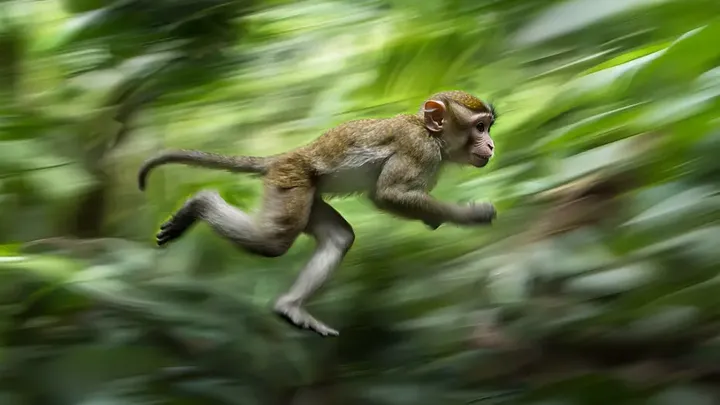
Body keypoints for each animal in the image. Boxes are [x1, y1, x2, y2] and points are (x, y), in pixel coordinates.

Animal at [138, 90, 498, 337]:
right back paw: (199, 204)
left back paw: (290, 307)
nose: (491, 145)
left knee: (339, 236)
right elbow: (388, 194)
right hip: (291, 182)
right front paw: (471, 215)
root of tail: (287, 156)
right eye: (480, 127)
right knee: (273, 241)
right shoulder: (418, 149)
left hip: (307, 194)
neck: (431, 135)